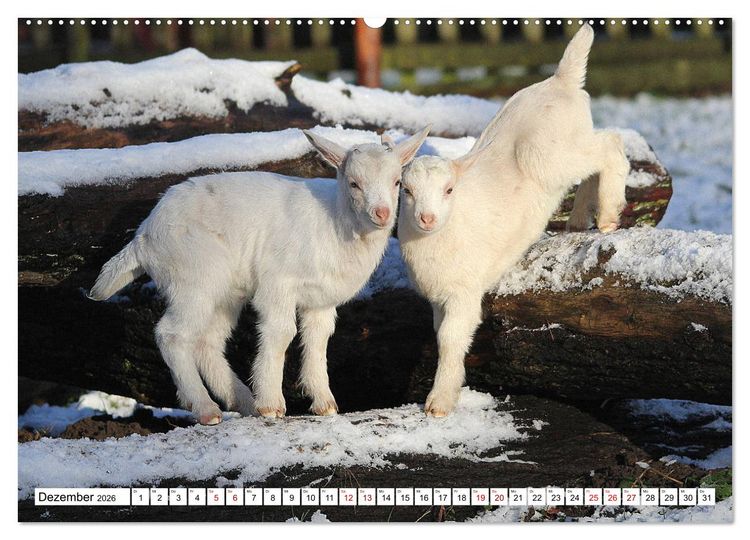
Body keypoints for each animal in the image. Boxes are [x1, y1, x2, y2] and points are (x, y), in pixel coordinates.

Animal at [90, 127, 431, 424]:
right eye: (354, 184)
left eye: (397, 182)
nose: (382, 214)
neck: (335, 222)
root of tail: (143, 237)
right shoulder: (278, 282)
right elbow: (281, 332)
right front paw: (271, 405)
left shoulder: (320, 300)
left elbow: (318, 340)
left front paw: (325, 404)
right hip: (193, 278)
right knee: (171, 335)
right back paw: (207, 409)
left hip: (225, 293)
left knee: (207, 342)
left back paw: (242, 400)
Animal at [397, 24, 629, 416]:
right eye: (405, 190)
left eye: (449, 190)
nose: (426, 218)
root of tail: (560, 80)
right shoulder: (438, 296)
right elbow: (442, 334)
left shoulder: (463, 290)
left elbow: (450, 338)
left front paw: (439, 403)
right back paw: (579, 219)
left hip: (548, 153)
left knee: (611, 144)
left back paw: (610, 215)